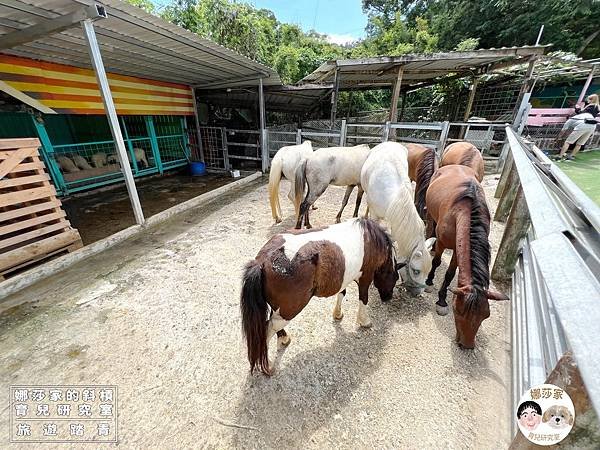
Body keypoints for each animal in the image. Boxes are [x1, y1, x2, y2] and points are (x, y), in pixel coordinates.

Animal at [240, 218, 404, 376]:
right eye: (395, 278)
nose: (387, 298)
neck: (370, 239)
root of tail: (262, 261)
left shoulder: (343, 279)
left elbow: (342, 293)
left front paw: (337, 314)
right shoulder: (366, 277)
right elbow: (363, 299)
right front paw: (365, 322)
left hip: (279, 310)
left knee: (272, 324)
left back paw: (284, 339)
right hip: (288, 312)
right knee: (268, 330)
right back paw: (267, 365)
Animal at [358, 142, 434, 296]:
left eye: (428, 270)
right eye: (416, 271)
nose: (417, 293)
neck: (395, 196)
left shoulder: (396, 222)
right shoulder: (375, 215)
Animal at [426, 165, 506, 348]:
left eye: (486, 316)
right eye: (458, 312)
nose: (467, 345)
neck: (463, 212)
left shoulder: (458, 249)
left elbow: (450, 273)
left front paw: (442, 299)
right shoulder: (442, 243)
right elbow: (436, 261)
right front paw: (429, 281)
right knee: (429, 224)